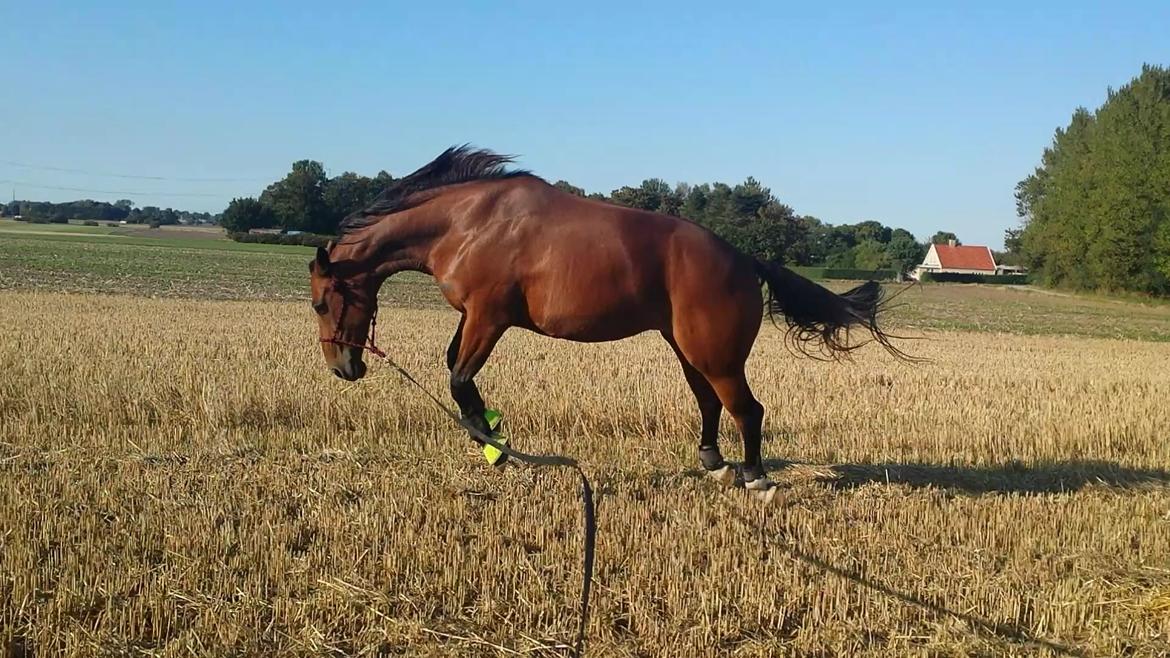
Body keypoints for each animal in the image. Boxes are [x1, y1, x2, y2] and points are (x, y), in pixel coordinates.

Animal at [311, 143, 903, 491]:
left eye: (319, 303)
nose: (342, 368)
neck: (467, 222)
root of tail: (744, 258)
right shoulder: (472, 316)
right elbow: (455, 368)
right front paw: (490, 436)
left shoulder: (488, 316)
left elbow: (459, 378)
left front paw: (493, 441)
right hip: (688, 350)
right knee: (711, 403)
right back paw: (713, 461)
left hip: (715, 354)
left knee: (746, 408)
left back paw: (755, 477)